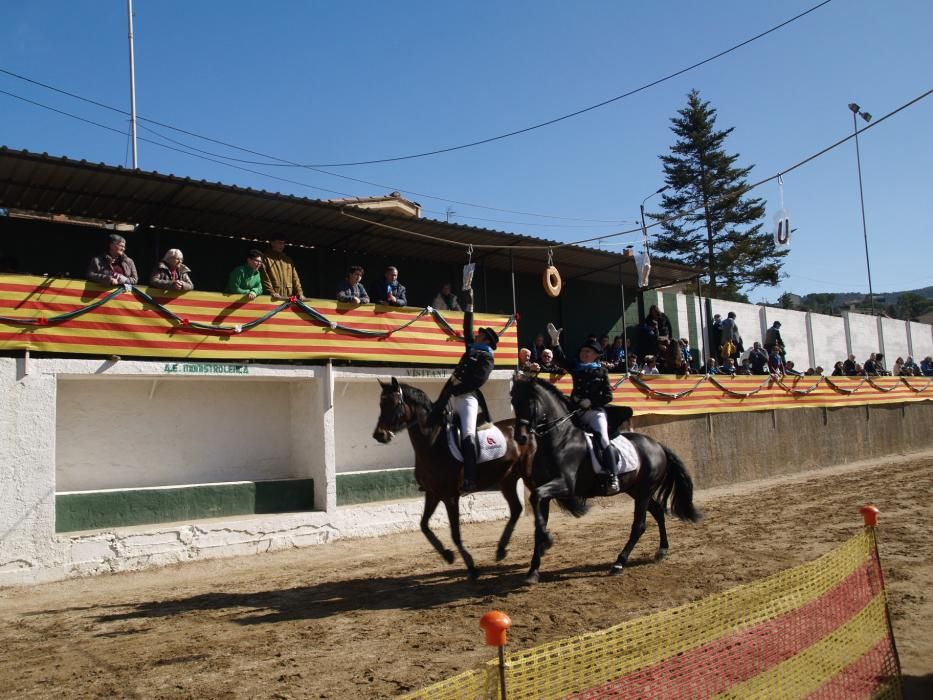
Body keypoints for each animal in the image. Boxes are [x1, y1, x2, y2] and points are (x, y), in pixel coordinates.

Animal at [372, 378, 532, 580]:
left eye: (394, 403)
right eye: (380, 404)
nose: (379, 435)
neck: (433, 442)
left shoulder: (450, 497)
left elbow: (455, 533)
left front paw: (471, 567)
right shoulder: (432, 494)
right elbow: (423, 525)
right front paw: (447, 555)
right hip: (508, 480)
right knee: (517, 509)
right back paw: (501, 550)